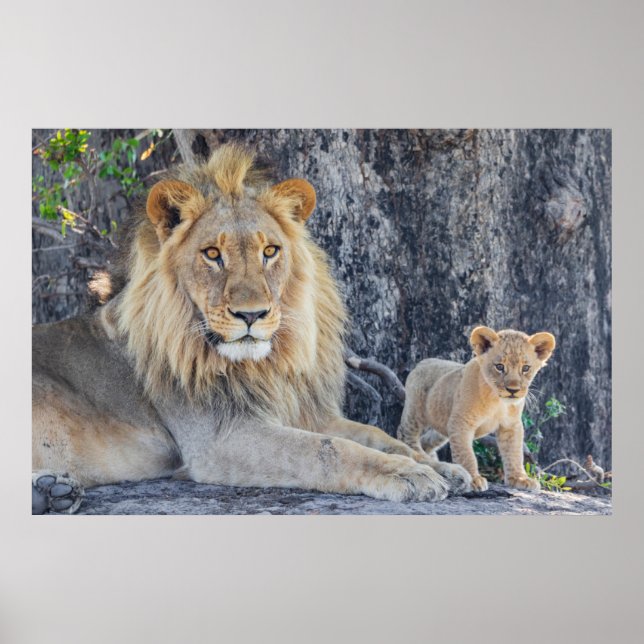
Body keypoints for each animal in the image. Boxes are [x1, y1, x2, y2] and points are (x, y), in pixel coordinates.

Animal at [32, 143, 471, 514]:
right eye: (212, 254)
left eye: (270, 251)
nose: (251, 315)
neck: (264, 366)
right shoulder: (221, 438)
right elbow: (329, 449)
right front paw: (407, 474)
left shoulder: (301, 411)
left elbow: (374, 434)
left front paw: (440, 468)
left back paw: (52, 491)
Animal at [397, 326, 556, 492]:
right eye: (499, 366)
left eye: (525, 368)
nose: (513, 390)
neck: (497, 401)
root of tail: (422, 362)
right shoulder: (460, 423)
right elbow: (466, 454)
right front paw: (473, 479)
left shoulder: (511, 425)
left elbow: (514, 453)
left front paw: (519, 478)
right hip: (416, 412)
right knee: (405, 434)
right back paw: (419, 455)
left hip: (442, 425)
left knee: (427, 440)